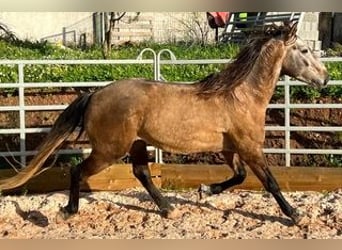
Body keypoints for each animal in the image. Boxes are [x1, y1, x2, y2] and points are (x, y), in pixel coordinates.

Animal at [1, 23, 330, 227]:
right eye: (303, 50)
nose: (325, 78)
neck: (240, 96)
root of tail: (95, 93)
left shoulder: (231, 148)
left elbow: (238, 176)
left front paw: (205, 190)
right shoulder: (249, 147)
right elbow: (269, 181)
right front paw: (295, 215)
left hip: (135, 143)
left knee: (142, 173)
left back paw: (168, 209)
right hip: (110, 150)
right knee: (77, 171)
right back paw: (67, 212)